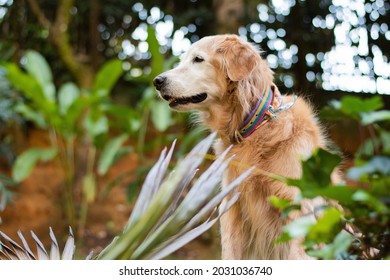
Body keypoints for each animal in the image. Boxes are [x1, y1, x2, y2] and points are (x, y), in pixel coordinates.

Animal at [152, 35, 330, 260]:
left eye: (198, 59)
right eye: (182, 60)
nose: (157, 81)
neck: (256, 126)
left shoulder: (298, 209)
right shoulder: (231, 207)